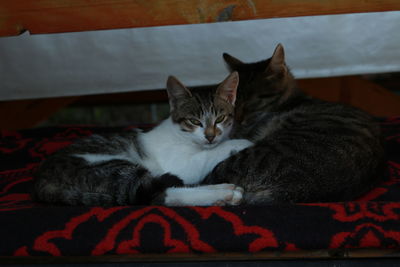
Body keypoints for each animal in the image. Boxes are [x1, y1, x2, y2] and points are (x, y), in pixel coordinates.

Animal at [33, 71, 253, 207]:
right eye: (194, 121)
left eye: (220, 118)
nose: (210, 135)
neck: (181, 134)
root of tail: (41, 181)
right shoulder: (180, 164)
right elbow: (208, 156)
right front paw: (242, 142)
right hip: (111, 168)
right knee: (157, 194)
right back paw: (223, 192)